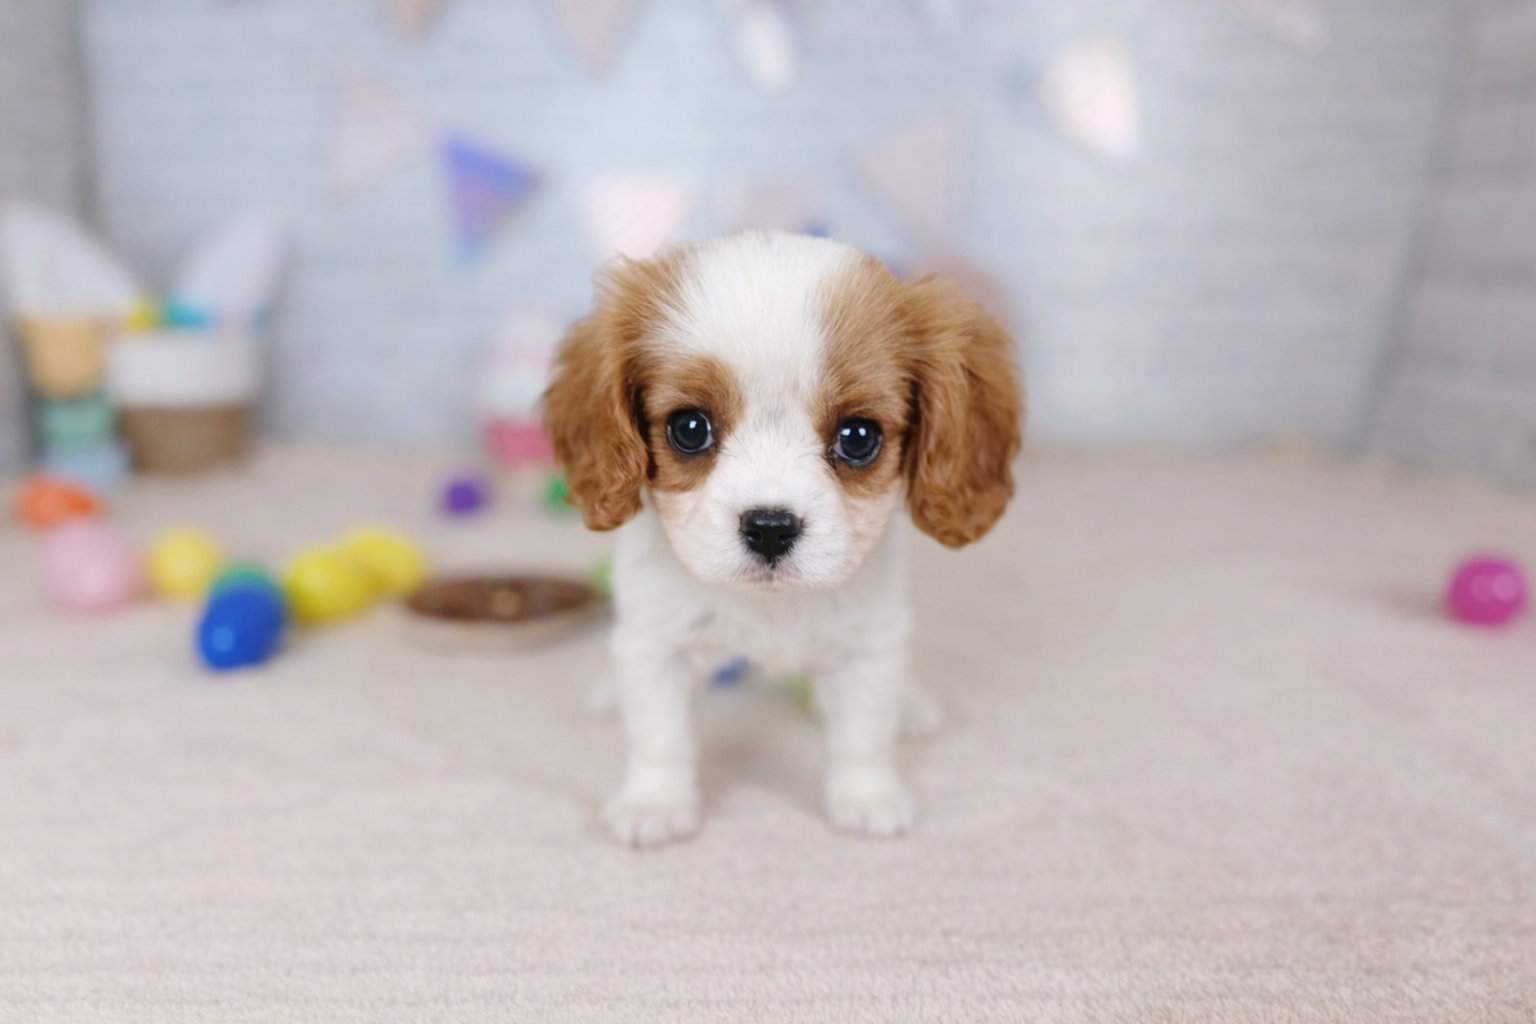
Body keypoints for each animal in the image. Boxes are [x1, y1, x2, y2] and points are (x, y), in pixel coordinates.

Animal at [543, 231, 1022, 847]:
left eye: (858, 437)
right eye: (689, 428)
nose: (770, 526)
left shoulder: (869, 646)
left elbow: (864, 732)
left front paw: (868, 798)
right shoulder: (657, 644)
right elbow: (660, 736)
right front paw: (654, 804)